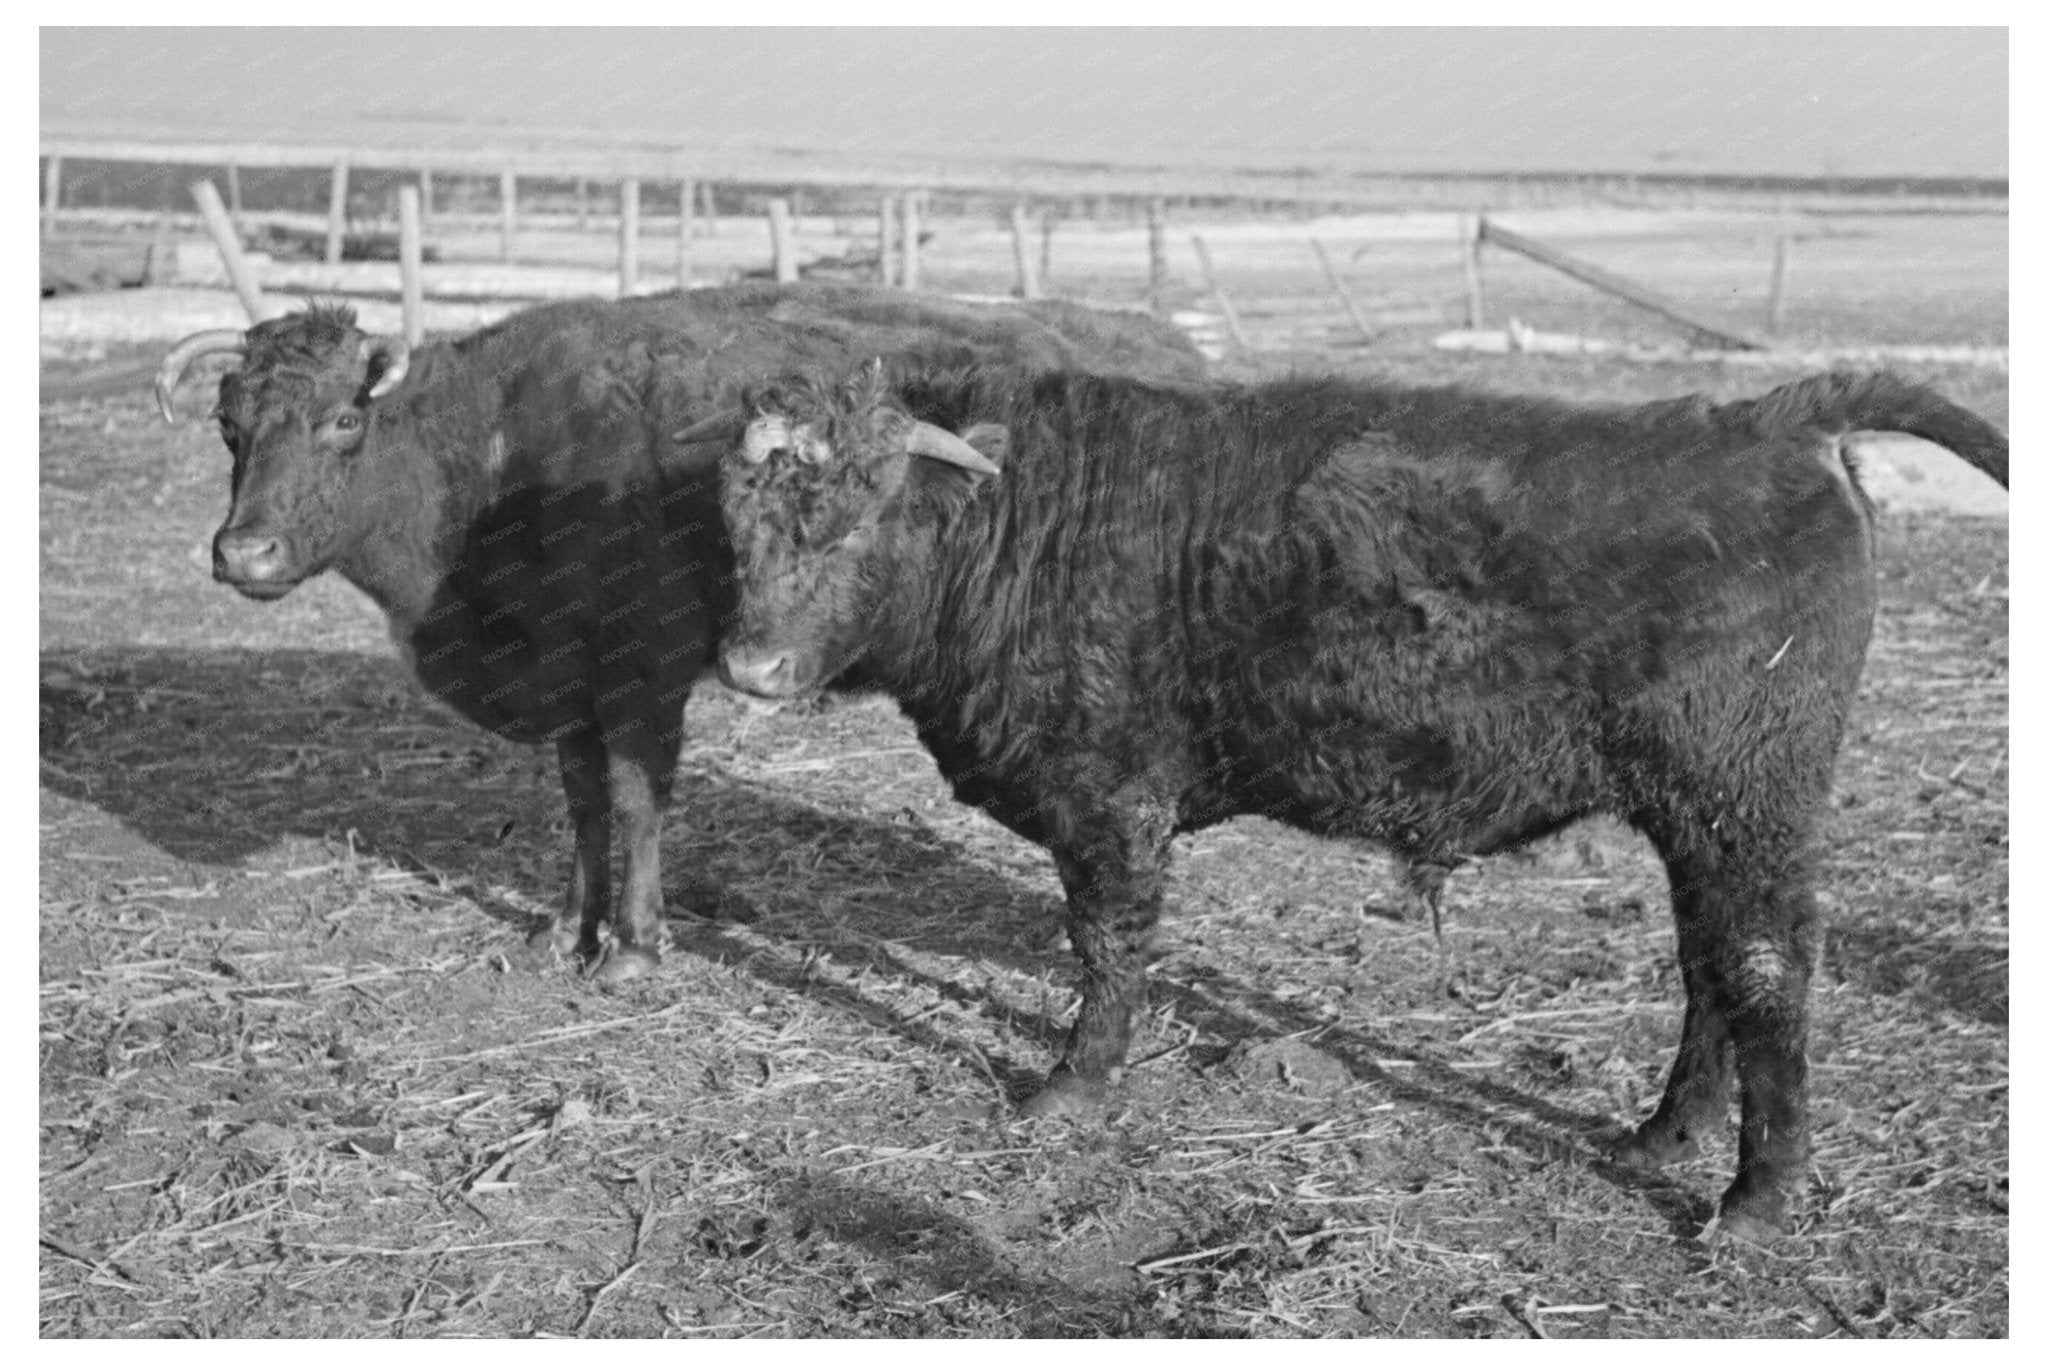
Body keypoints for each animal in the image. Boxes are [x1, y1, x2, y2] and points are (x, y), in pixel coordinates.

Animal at [152, 285, 1205, 982]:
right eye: (226, 421)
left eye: (340, 419)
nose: (243, 552)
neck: (499, 455)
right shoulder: (572, 687)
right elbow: (582, 803)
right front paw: (565, 929)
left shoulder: (642, 679)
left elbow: (636, 802)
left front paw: (632, 947)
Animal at [677, 361, 2007, 1240]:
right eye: (740, 524)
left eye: (856, 522)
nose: (751, 668)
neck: (1029, 517)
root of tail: (1766, 419)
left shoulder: (1109, 799)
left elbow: (1106, 945)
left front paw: (1070, 1087)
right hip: (1696, 820)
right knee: (1710, 970)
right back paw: (1660, 1134)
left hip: (1744, 801)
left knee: (1765, 971)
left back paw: (1754, 1201)